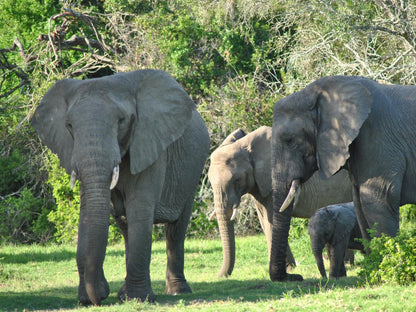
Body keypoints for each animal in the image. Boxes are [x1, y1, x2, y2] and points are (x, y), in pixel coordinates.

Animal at [31, 69, 211, 304]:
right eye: (69, 126)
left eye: (122, 121)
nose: (99, 297)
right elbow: (87, 211)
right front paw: (90, 299)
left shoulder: (149, 144)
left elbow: (139, 210)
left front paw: (140, 299)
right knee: (126, 228)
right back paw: (124, 293)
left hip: (192, 172)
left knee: (176, 229)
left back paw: (177, 291)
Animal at [206, 125, 352, 276]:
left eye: (237, 180)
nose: (220, 276)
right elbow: (265, 221)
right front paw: (290, 267)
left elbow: (272, 220)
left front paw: (286, 268)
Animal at [268, 76, 416, 282]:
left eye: (290, 141)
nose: (295, 277)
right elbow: (360, 205)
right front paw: (372, 271)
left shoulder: (377, 139)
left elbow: (378, 200)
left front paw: (385, 271)